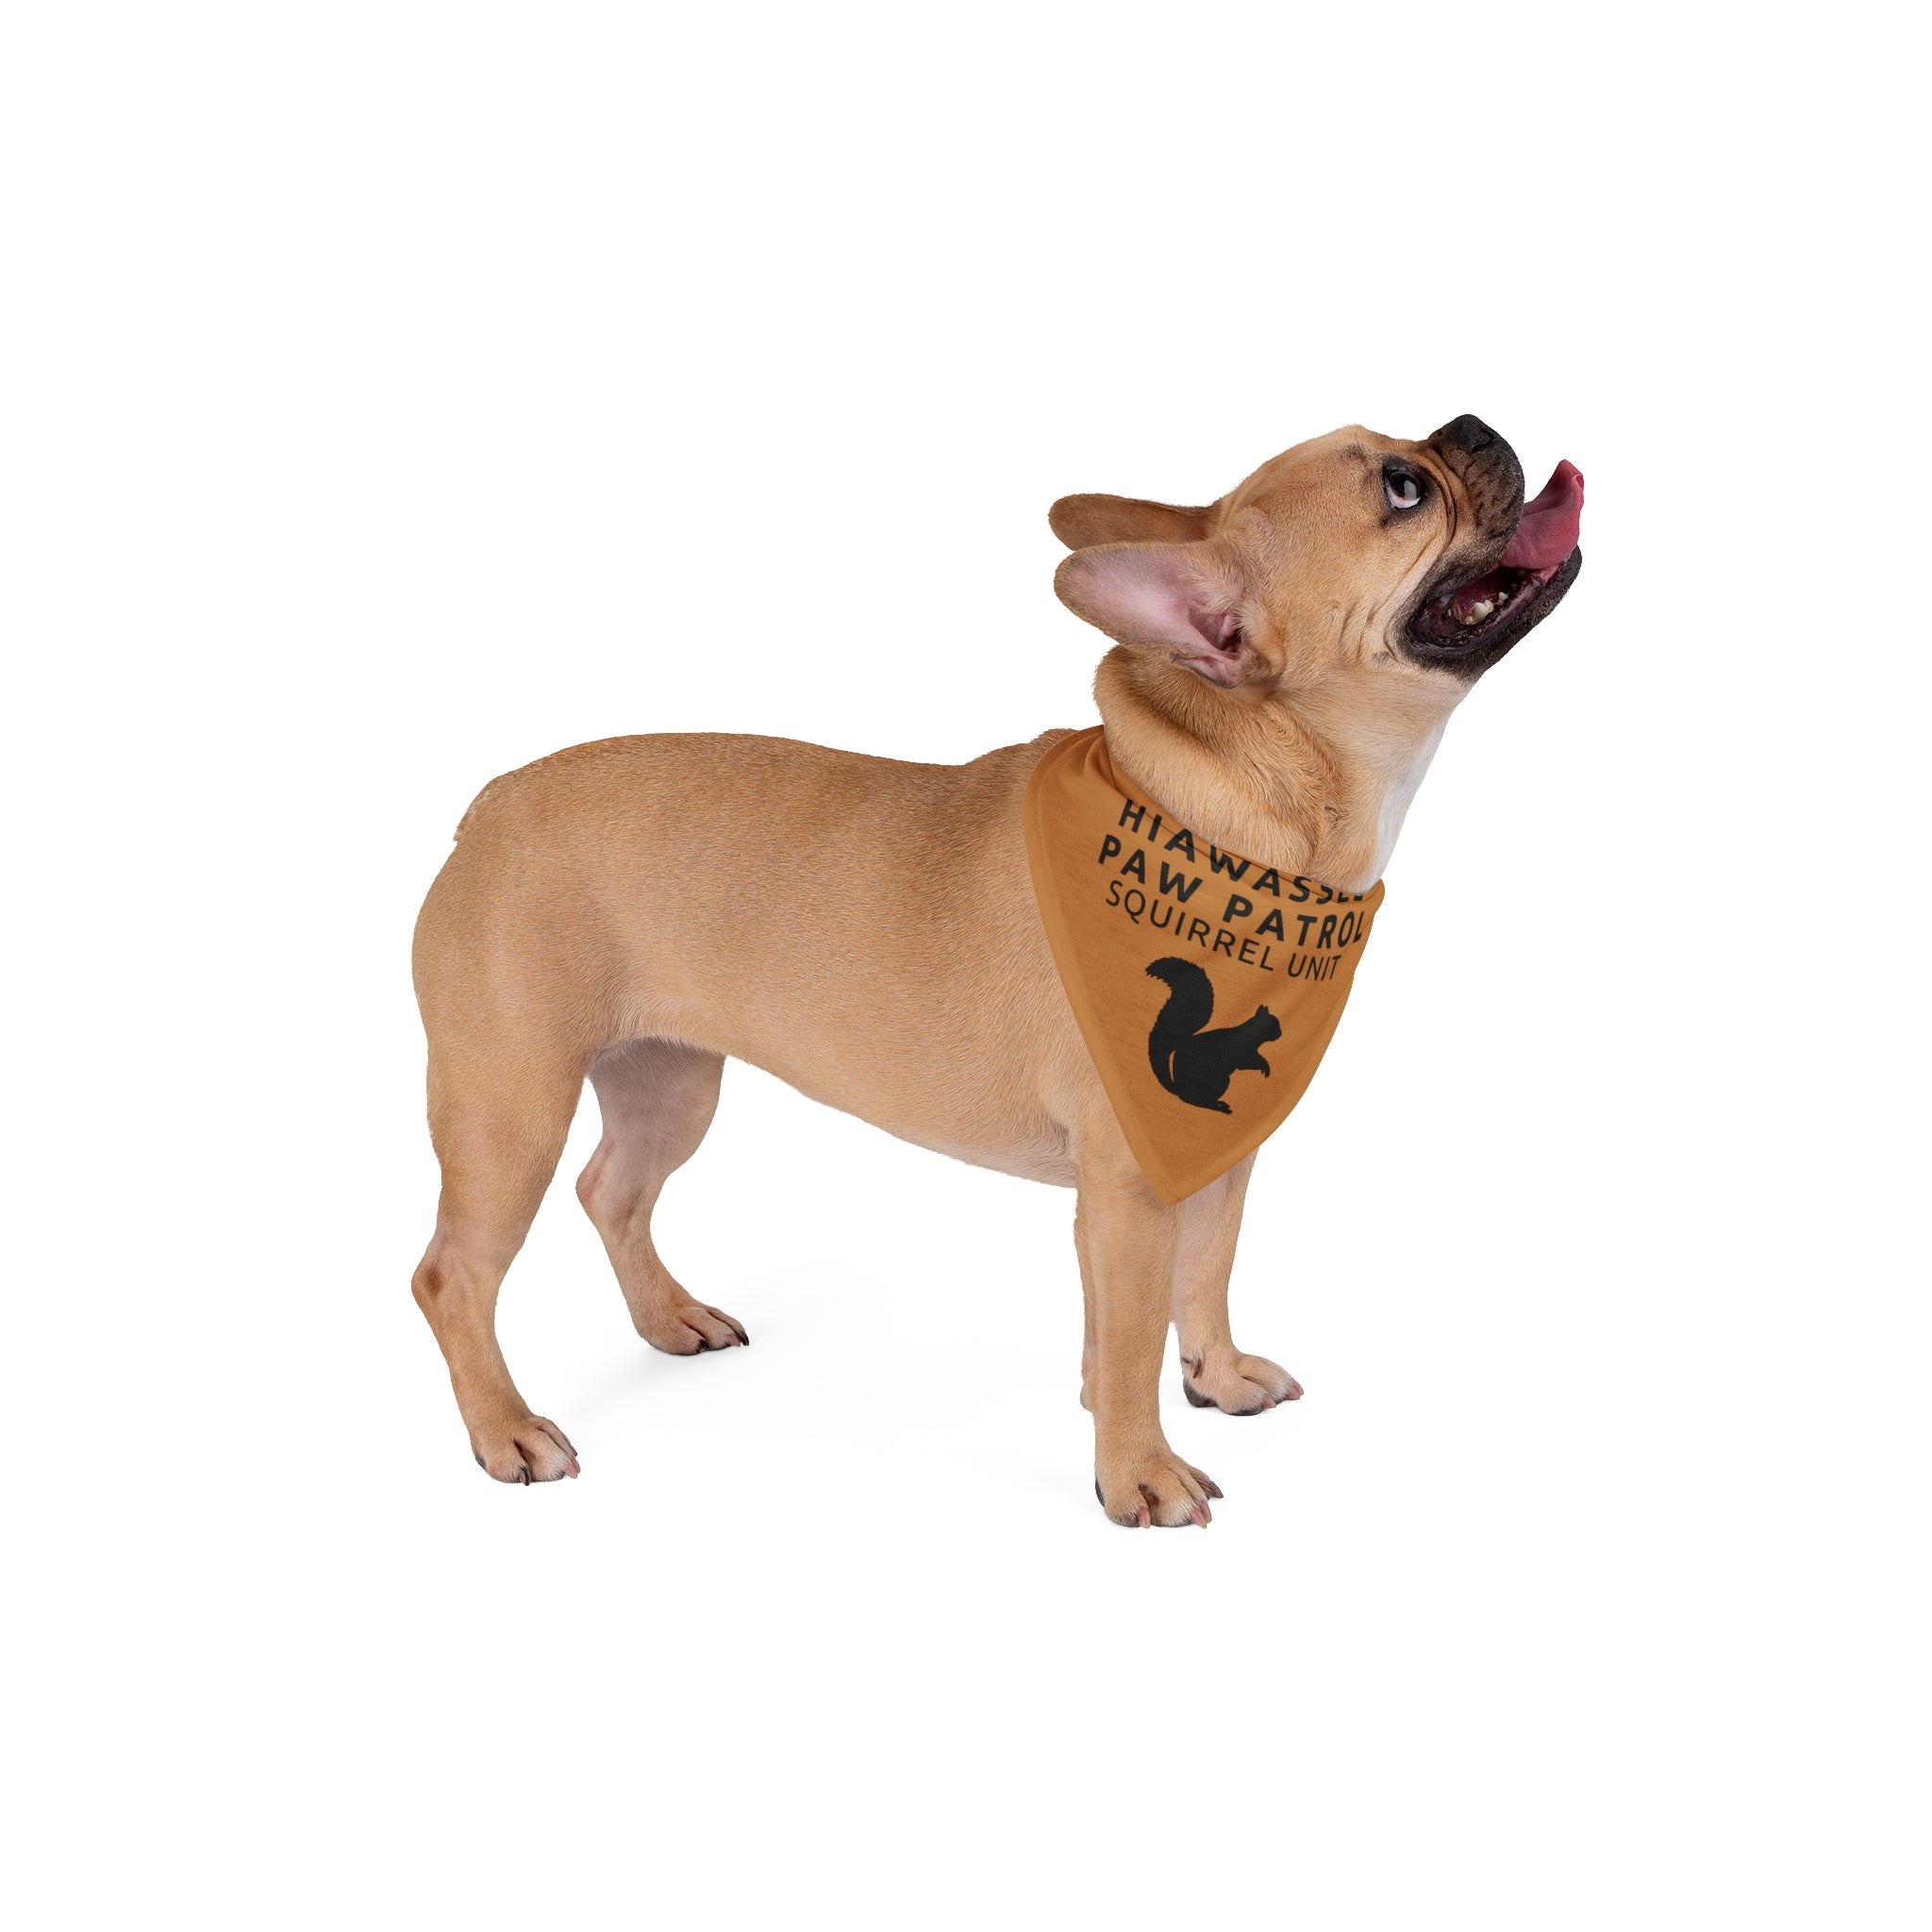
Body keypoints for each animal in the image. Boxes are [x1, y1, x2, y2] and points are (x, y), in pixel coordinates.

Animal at [1144, 957, 1282, 1115]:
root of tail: (1179, 1090)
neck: (1252, 1033)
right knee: (1198, 1101)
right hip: (1218, 1081)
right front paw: (1265, 1066)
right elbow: (1248, 1062)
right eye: (1275, 1026)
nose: (1281, 1033)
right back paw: (1219, 1106)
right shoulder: (1242, 1052)